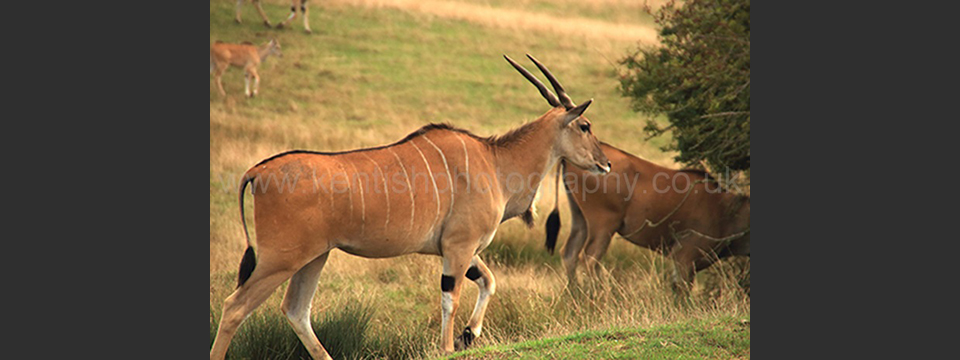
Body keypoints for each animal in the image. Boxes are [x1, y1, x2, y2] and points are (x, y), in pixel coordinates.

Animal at [211, 54, 616, 360]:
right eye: (585, 125)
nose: (606, 163)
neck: (495, 162)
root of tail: (258, 171)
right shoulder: (459, 247)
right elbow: (451, 297)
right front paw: (450, 346)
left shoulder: (459, 249)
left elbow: (489, 281)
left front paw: (469, 335)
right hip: (279, 260)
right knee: (235, 307)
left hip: (313, 258)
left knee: (296, 311)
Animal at [548, 142, 752, 292]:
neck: (727, 211)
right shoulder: (685, 257)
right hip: (603, 224)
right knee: (590, 258)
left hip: (580, 218)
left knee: (570, 253)